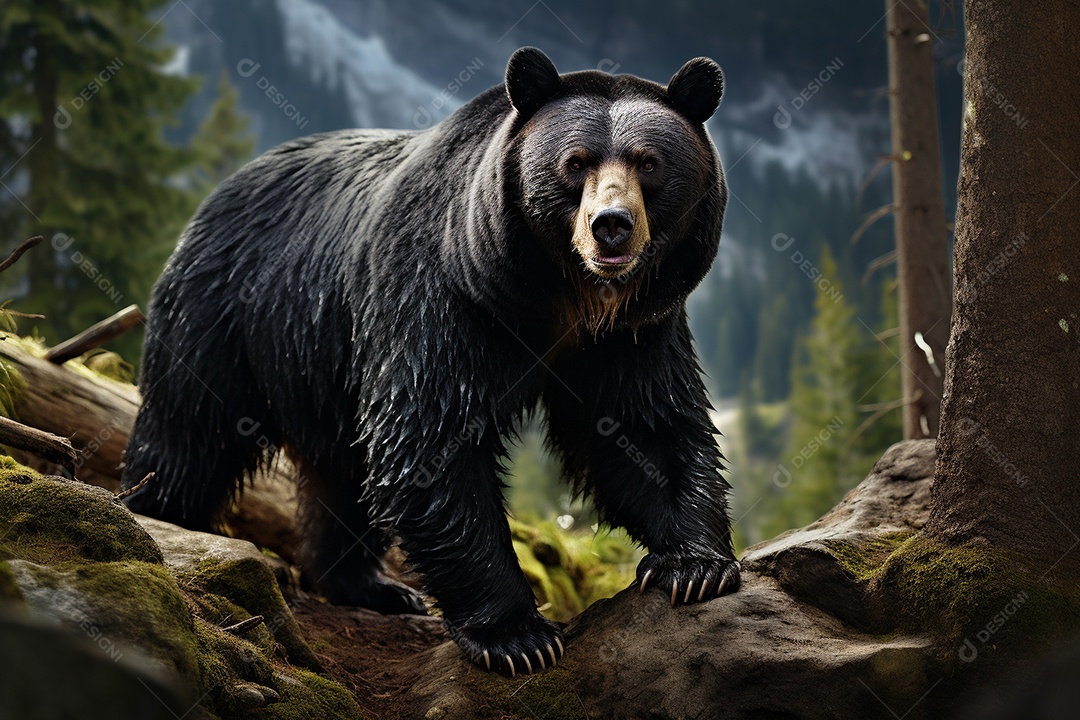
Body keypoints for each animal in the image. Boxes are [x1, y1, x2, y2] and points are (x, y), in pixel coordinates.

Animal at [121, 46, 739, 677]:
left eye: (649, 162)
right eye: (575, 162)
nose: (610, 225)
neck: (556, 297)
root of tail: (221, 190)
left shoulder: (632, 332)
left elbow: (642, 426)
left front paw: (695, 564)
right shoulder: (440, 298)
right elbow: (430, 440)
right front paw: (518, 635)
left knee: (342, 472)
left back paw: (370, 584)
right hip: (231, 312)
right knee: (192, 427)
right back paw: (157, 509)